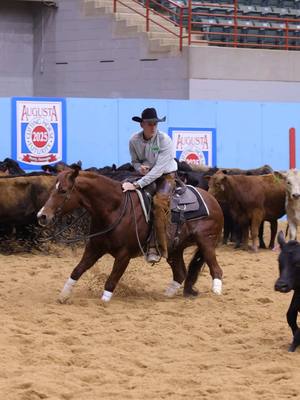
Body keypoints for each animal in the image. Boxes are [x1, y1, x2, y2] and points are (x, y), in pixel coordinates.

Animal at [37, 168, 223, 304]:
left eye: (63, 191)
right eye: (52, 189)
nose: (42, 216)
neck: (115, 208)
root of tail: (212, 199)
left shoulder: (124, 254)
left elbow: (112, 280)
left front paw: (104, 301)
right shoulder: (94, 247)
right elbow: (77, 270)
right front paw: (64, 295)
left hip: (206, 241)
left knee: (216, 269)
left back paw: (216, 291)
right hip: (174, 248)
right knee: (180, 273)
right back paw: (167, 294)